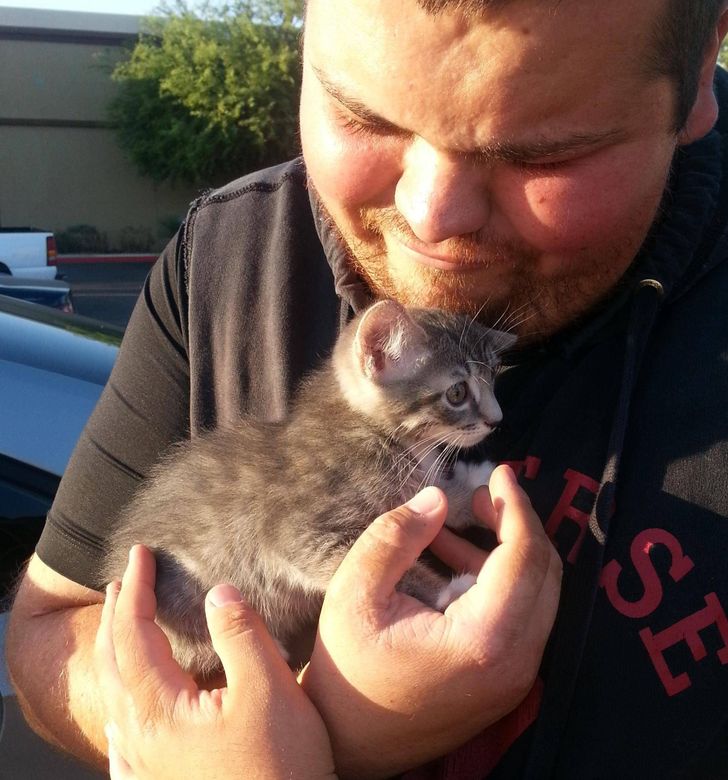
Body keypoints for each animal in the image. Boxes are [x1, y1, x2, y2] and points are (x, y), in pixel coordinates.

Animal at [99, 300, 516, 676]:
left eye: (494, 380)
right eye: (457, 393)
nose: (496, 420)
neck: (373, 432)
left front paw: (470, 485)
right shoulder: (296, 533)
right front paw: (450, 592)